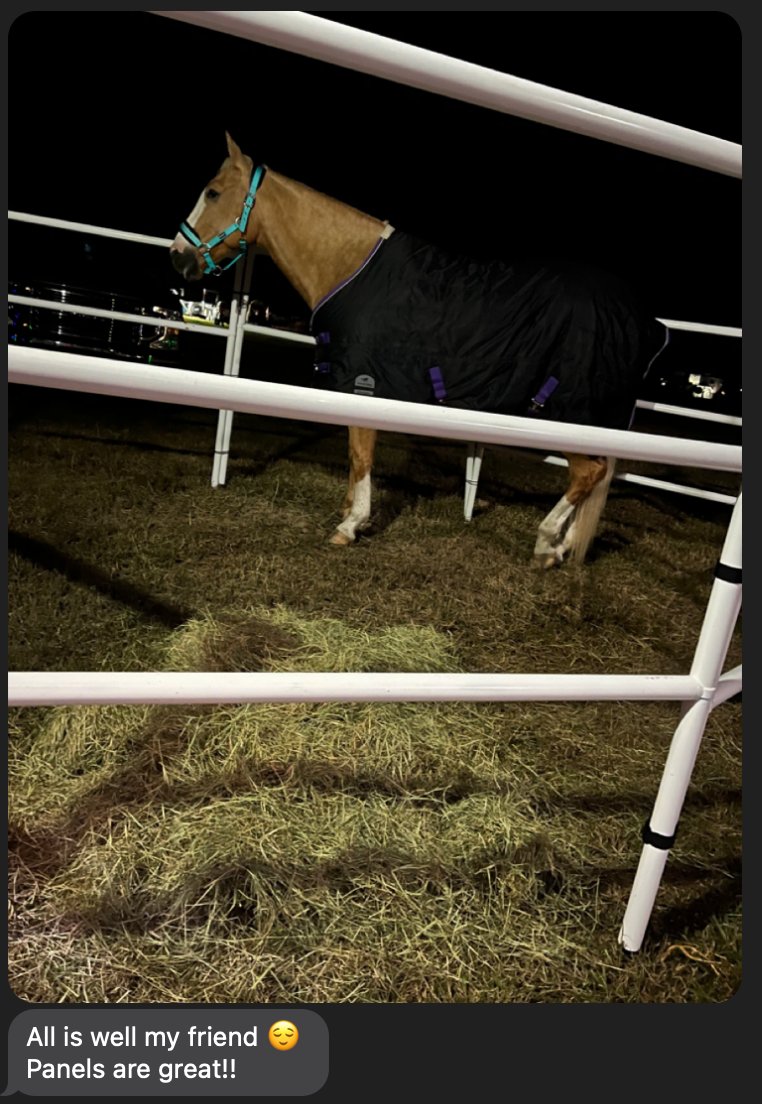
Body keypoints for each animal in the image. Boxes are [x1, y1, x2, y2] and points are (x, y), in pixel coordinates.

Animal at [170, 133, 668, 568]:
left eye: (213, 193)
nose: (178, 256)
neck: (353, 268)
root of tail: (642, 320)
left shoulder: (365, 385)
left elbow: (361, 455)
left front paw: (351, 525)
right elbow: (354, 457)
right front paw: (348, 512)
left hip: (568, 410)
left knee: (588, 473)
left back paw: (547, 545)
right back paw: (563, 547)